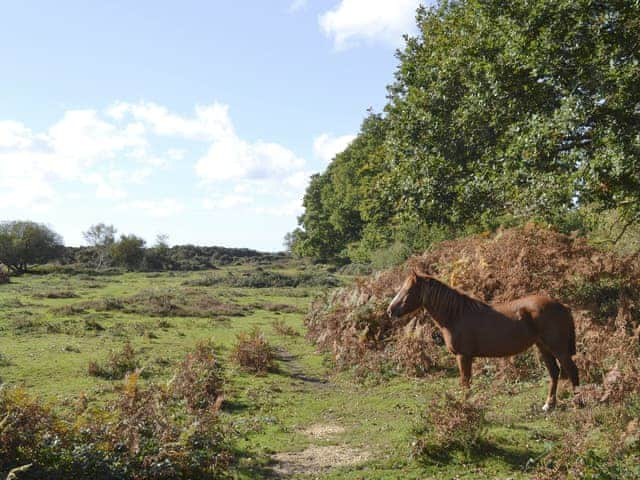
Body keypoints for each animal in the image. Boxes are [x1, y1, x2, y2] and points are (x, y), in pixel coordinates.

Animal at [384, 272, 580, 410]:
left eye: (408, 291)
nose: (390, 311)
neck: (456, 315)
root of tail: (562, 306)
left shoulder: (463, 356)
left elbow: (465, 383)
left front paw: (465, 406)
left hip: (558, 348)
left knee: (572, 370)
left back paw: (578, 403)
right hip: (543, 347)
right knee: (554, 373)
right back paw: (549, 405)